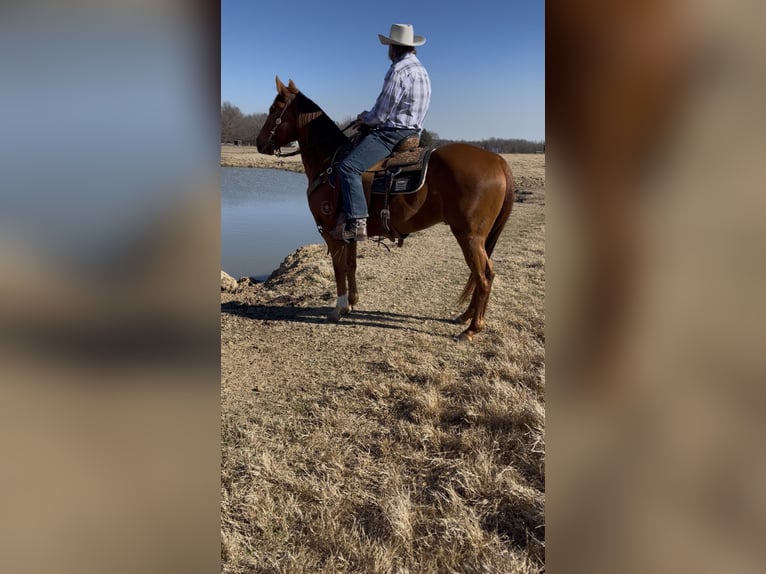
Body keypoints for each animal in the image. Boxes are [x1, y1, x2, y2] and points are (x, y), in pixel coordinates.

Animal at [255, 77, 515, 341]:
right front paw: (351, 303)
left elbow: (339, 268)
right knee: (483, 275)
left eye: (274, 109)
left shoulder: (331, 233)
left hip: (469, 236)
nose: (259, 143)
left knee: (483, 277)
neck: (329, 163)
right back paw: (466, 316)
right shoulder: (349, 232)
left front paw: (338, 308)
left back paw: (472, 329)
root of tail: (498, 161)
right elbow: (351, 265)